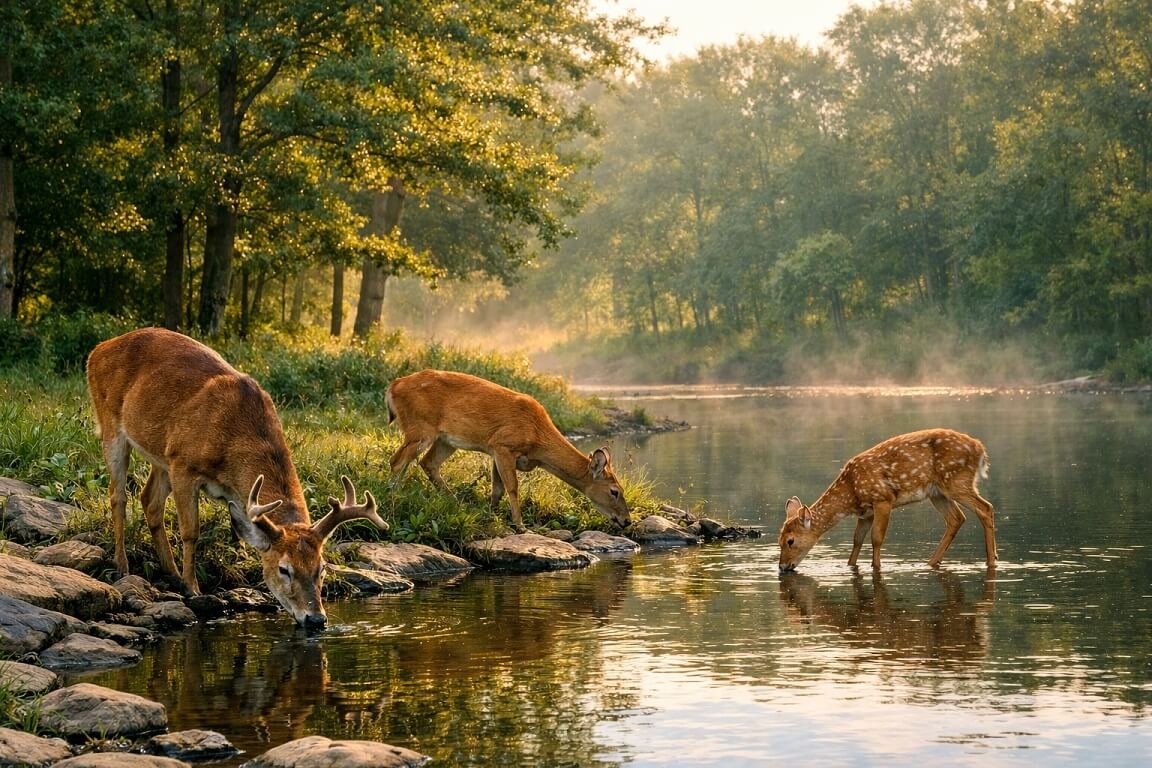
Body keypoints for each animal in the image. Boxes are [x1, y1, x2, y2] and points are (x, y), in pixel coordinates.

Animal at [86, 327, 389, 628]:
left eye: (322, 568)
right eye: (284, 569)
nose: (316, 619)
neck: (236, 440)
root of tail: (98, 349)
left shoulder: (224, 487)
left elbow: (239, 534)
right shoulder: (183, 463)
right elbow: (191, 531)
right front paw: (192, 588)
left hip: (160, 455)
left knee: (149, 500)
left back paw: (170, 571)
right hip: (111, 424)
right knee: (118, 495)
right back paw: (123, 564)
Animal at [384, 369, 630, 530]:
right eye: (614, 491)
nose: (627, 520)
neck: (538, 440)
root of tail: (393, 386)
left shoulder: (495, 450)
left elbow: (497, 489)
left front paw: (490, 514)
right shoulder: (503, 444)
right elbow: (512, 487)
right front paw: (520, 525)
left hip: (445, 440)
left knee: (427, 463)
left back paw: (453, 501)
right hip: (420, 427)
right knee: (397, 461)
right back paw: (392, 498)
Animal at [777, 428, 997, 573]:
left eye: (790, 541)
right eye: (778, 540)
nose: (782, 567)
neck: (851, 492)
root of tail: (980, 449)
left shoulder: (883, 499)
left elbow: (876, 537)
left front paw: (876, 566)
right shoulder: (865, 513)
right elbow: (857, 540)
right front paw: (850, 565)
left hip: (956, 480)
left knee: (985, 508)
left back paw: (991, 560)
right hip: (937, 492)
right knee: (956, 518)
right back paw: (931, 562)